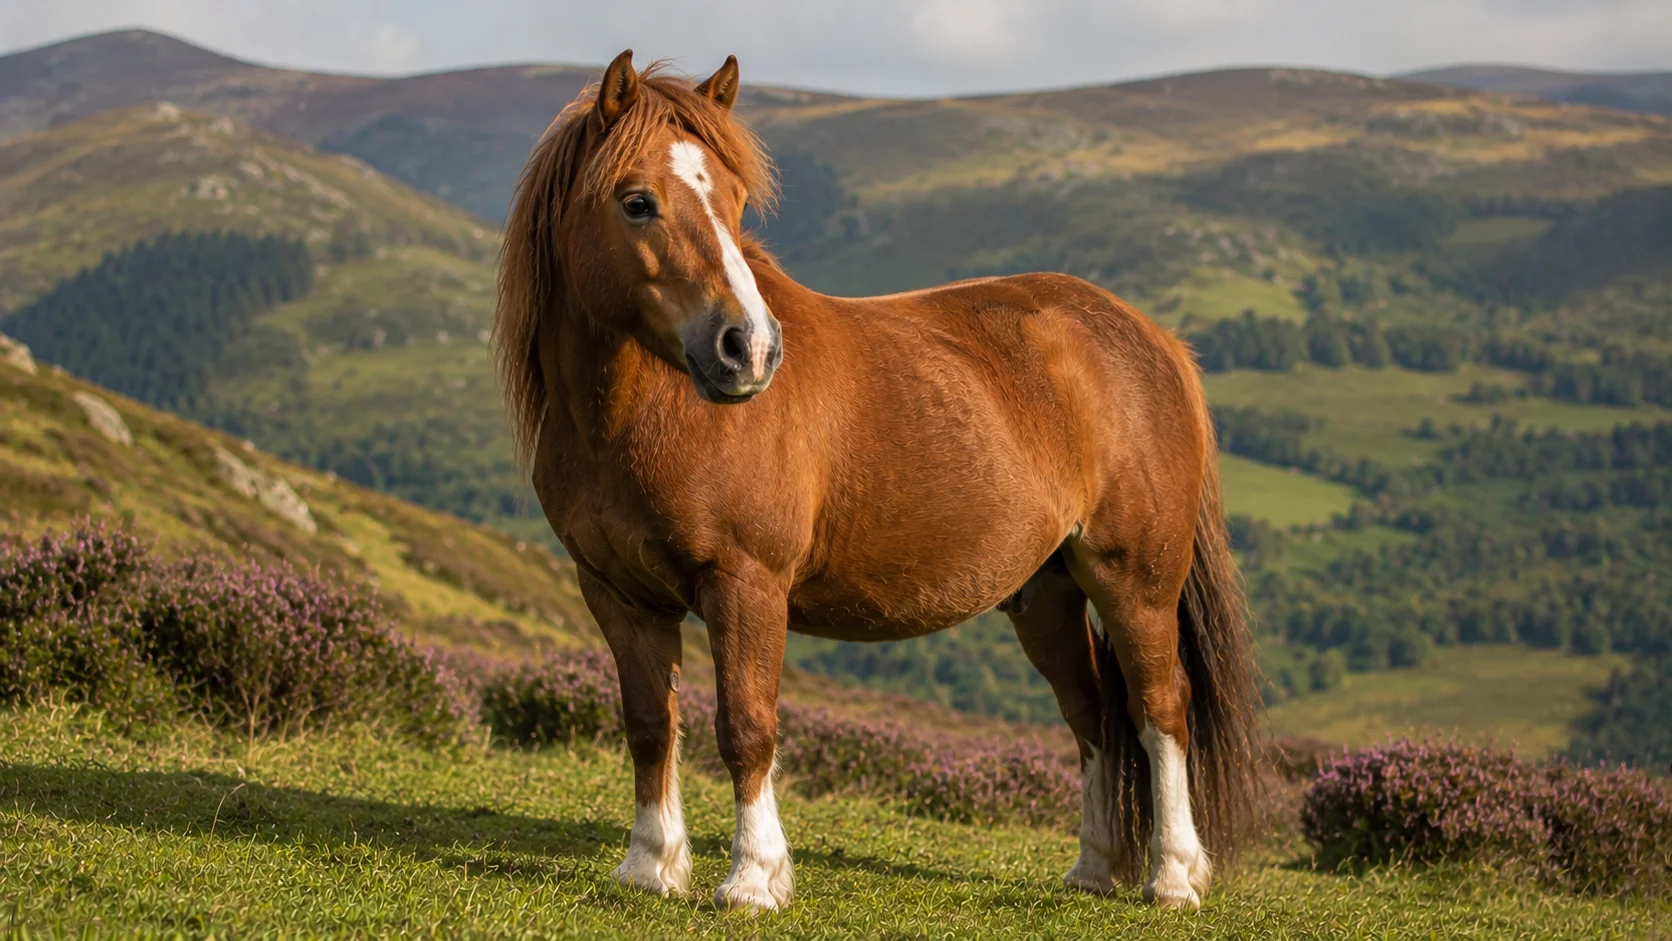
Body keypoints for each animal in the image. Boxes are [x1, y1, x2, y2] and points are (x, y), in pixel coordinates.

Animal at [494, 49, 1263, 914]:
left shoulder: (746, 584)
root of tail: (1155, 339)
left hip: (1135, 579)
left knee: (1159, 708)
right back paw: (1094, 868)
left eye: (735, 201)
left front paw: (753, 877)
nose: (749, 349)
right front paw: (650, 867)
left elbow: (746, 724)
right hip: (1047, 594)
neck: (648, 413)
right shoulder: (617, 594)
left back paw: (1173, 875)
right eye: (637, 202)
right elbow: (648, 723)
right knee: (1093, 712)